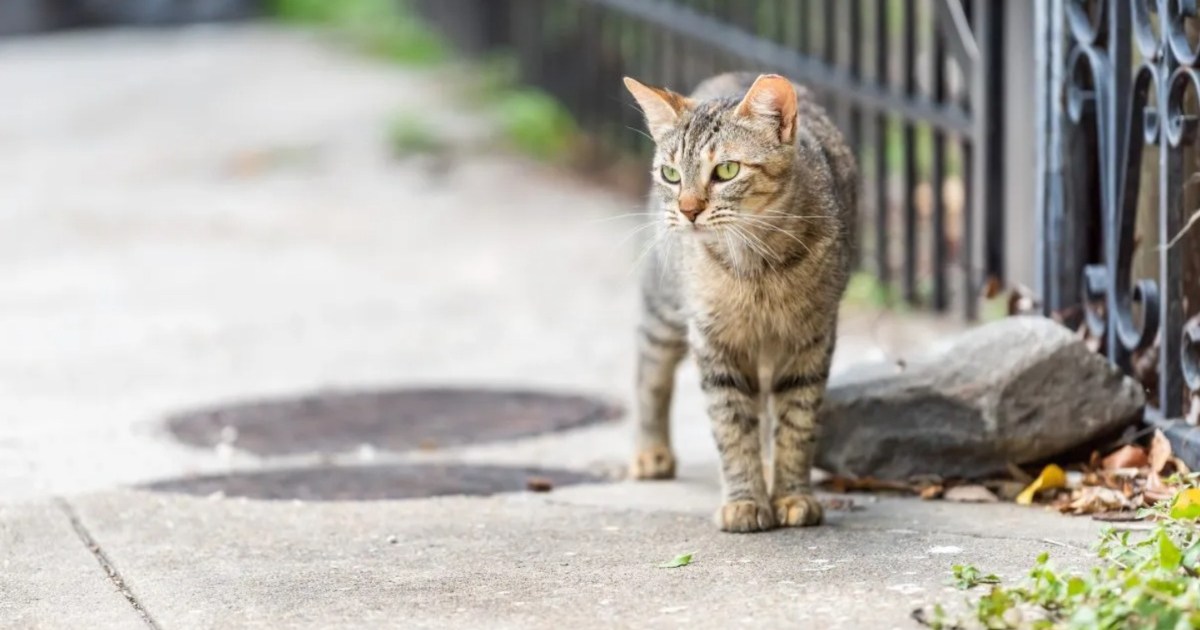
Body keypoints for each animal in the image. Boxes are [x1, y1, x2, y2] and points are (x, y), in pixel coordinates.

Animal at [624, 71, 859, 530]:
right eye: (671, 174)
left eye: (726, 170)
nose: (688, 210)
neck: (755, 268)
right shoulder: (713, 341)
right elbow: (731, 425)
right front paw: (746, 500)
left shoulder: (811, 338)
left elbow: (796, 423)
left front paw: (791, 494)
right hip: (666, 307)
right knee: (649, 367)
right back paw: (651, 450)